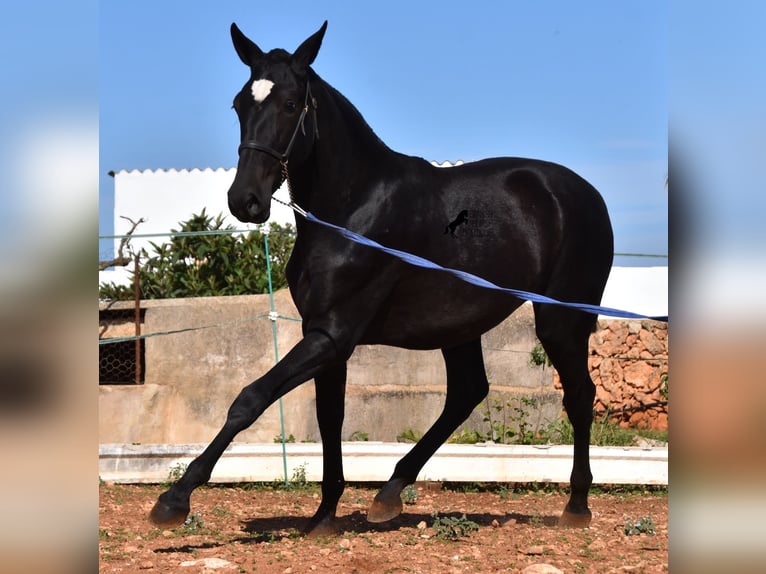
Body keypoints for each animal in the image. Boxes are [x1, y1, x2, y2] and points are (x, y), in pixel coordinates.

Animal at [152, 21, 616, 536]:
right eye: (239, 104)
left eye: (291, 104)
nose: (244, 201)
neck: (352, 211)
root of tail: (584, 193)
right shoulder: (323, 336)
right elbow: (329, 417)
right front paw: (324, 515)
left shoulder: (333, 335)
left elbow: (250, 398)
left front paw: (174, 500)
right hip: (460, 326)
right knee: (467, 393)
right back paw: (389, 492)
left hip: (560, 320)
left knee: (579, 394)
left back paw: (576, 504)